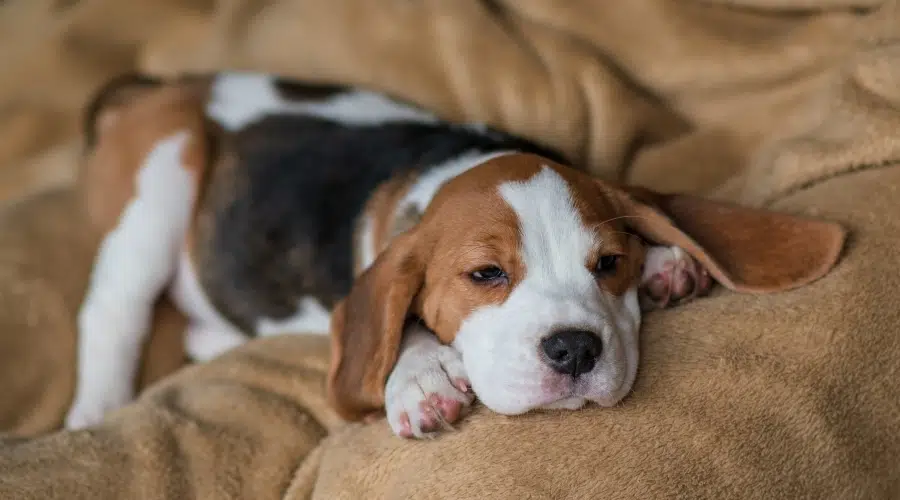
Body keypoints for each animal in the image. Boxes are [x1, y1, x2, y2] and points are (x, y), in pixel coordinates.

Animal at [67, 71, 848, 438]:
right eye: (485, 275)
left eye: (606, 265)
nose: (574, 350)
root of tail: (166, 87)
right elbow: (400, 318)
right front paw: (419, 377)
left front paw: (664, 262)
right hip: (162, 177)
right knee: (111, 313)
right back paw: (94, 410)